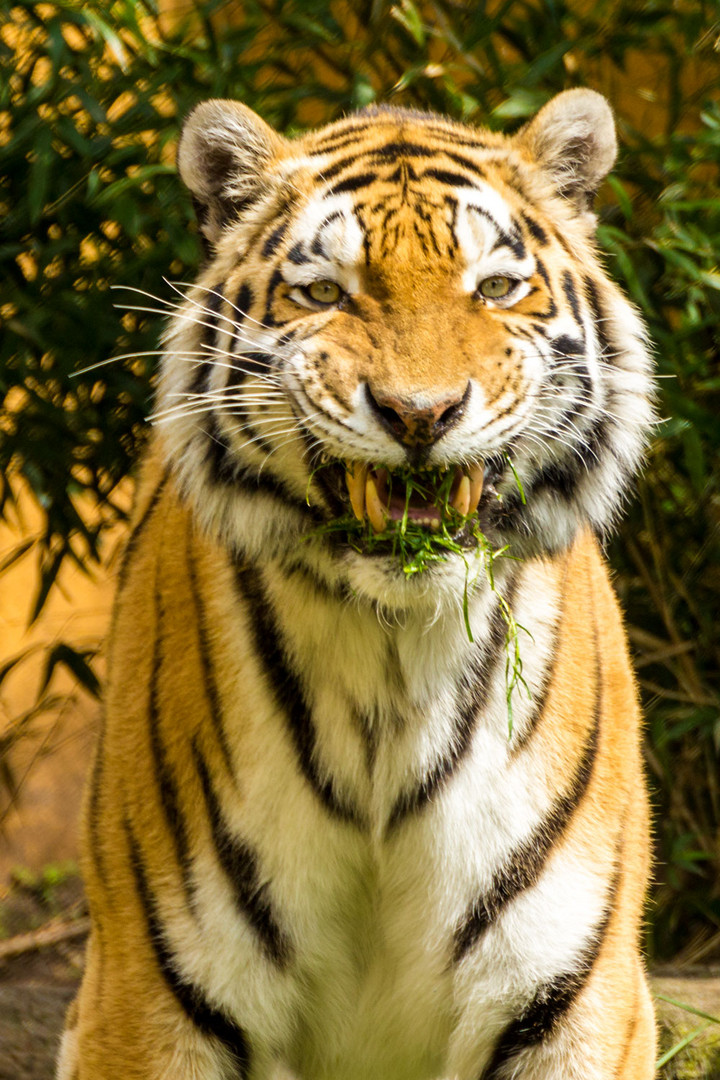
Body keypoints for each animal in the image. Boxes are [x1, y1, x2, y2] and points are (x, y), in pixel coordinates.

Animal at [59, 88, 660, 1075]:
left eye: (496, 288)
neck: (394, 660)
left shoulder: (569, 997)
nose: (421, 413)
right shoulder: (153, 996)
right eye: (323, 293)